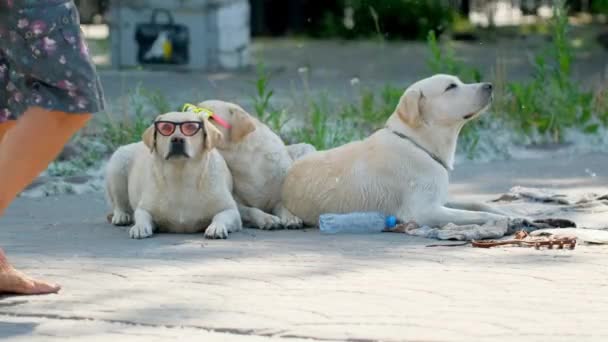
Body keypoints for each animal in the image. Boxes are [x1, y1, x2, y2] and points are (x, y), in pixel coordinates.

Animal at [103, 111, 241, 239]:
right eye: (166, 128)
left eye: (191, 127)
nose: (177, 139)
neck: (180, 175)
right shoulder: (144, 208)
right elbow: (142, 215)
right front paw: (140, 227)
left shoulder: (231, 210)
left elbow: (221, 216)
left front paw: (216, 227)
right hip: (118, 163)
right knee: (119, 203)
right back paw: (121, 216)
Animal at [194, 101, 312, 230]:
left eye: (210, 117)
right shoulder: (237, 205)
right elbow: (252, 210)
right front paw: (267, 218)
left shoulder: (278, 198)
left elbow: (282, 206)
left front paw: (291, 217)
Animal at [282, 73, 510, 226]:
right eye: (451, 86)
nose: (490, 86)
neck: (417, 143)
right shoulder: (424, 211)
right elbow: (478, 215)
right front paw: (502, 220)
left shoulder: (439, 200)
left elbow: (477, 205)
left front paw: (510, 213)